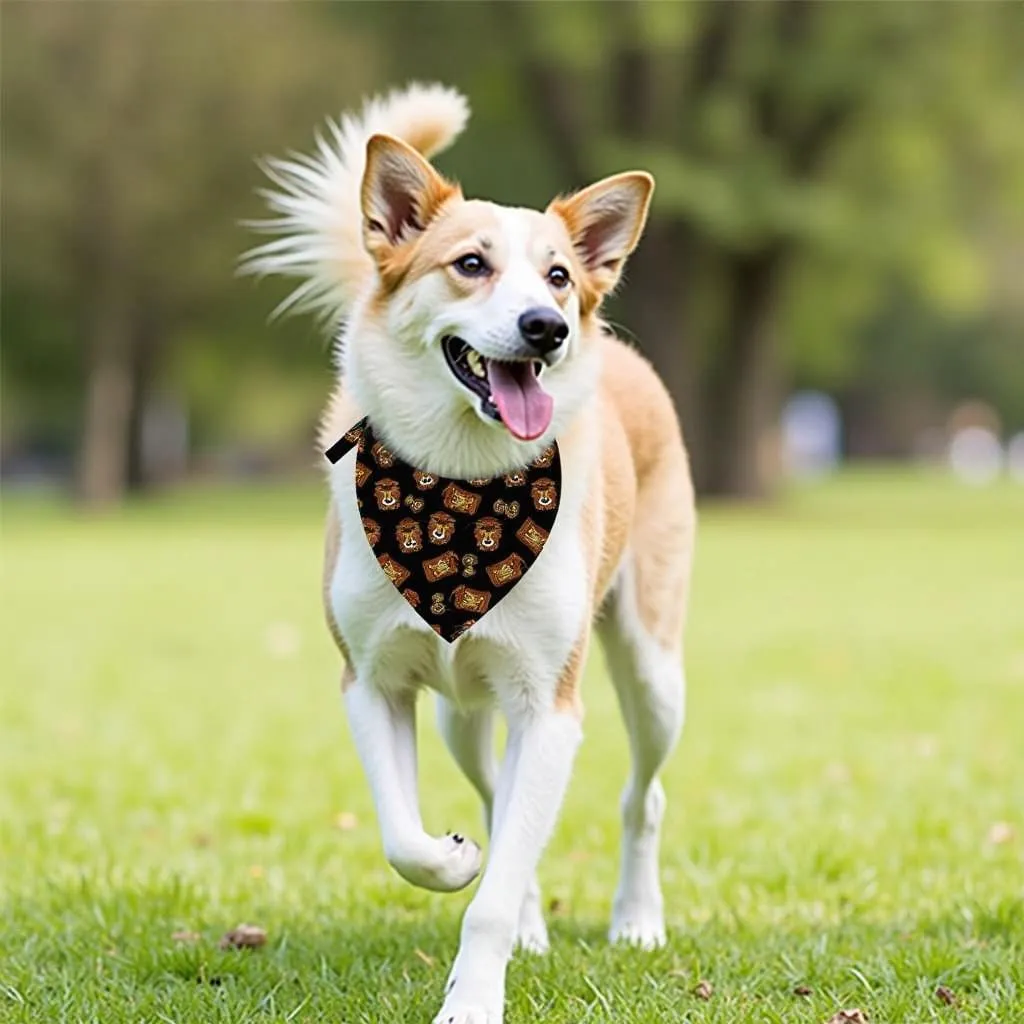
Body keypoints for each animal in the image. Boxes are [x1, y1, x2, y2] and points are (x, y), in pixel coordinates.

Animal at [245, 81, 696, 1024]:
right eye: (470, 264)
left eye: (557, 274)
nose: (547, 327)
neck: (459, 485)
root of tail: (624, 354)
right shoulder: (370, 683)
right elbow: (406, 838)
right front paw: (453, 861)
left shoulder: (550, 708)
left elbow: (490, 891)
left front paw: (474, 998)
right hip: (461, 715)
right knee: (497, 801)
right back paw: (521, 906)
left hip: (651, 668)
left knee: (644, 794)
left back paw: (637, 919)